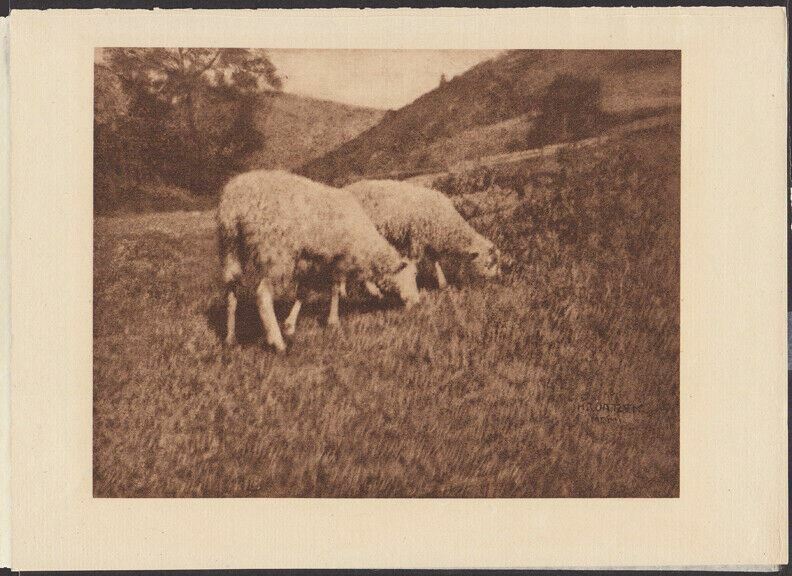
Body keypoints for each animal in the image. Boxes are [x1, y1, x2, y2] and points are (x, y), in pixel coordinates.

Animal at [217, 170, 420, 352]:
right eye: (410, 277)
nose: (417, 302)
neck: (364, 242)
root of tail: (236, 203)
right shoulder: (338, 259)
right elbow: (335, 289)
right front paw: (333, 321)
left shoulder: (310, 262)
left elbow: (303, 293)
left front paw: (290, 325)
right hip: (276, 253)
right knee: (262, 295)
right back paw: (277, 342)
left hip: (230, 248)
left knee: (231, 291)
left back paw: (230, 338)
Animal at [343, 179, 502, 289]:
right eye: (488, 263)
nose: (498, 279)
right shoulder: (416, 238)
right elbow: (414, 261)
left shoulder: (429, 240)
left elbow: (435, 261)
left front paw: (443, 284)